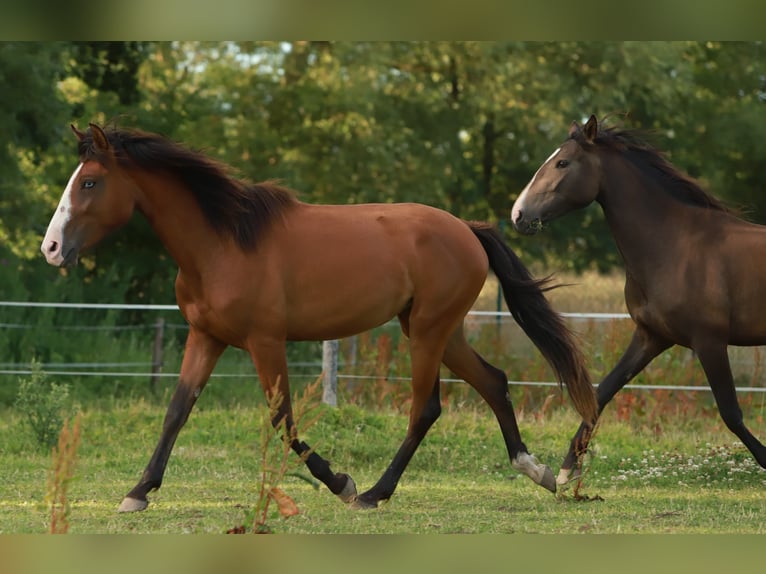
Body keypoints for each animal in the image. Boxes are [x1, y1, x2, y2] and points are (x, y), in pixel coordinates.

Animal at [40, 122, 597, 513]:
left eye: (89, 183)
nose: (51, 249)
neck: (223, 242)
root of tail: (466, 227)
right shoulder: (205, 337)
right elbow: (177, 410)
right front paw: (139, 491)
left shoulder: (266, 342)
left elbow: (283, 419)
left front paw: (341, 482)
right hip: (437, 330)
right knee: (494, 381)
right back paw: (538, 471)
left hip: (429, 332)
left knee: (426, 408)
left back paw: (373, 493)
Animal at [511, 114, 766, 485]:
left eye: (562, 163)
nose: (518, 215)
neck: (674, 245)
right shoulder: (651, 337)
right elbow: (601, 394)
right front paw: (566, 470)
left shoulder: (710, 342)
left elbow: (731, 412)